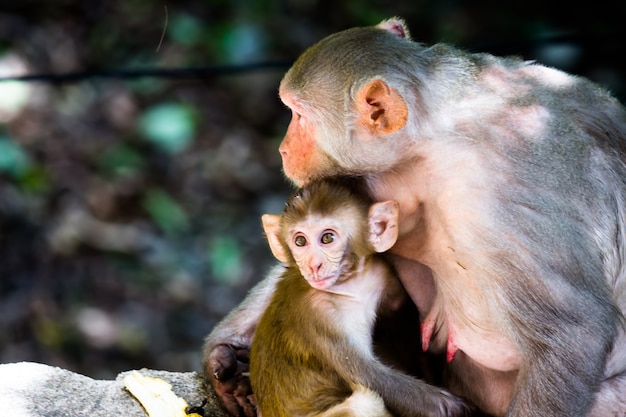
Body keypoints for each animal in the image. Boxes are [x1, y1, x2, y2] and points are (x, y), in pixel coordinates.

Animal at [249, 179, 468, 416]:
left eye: (327, 238)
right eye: (300, 241)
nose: (313, 265)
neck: (350, 286)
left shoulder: (380, 274)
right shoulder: (318, 314)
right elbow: (371, 378)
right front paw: (456, 407)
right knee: (363, 402)